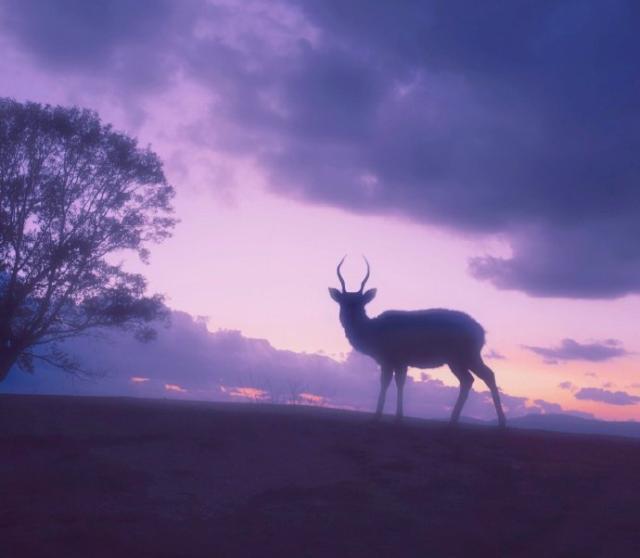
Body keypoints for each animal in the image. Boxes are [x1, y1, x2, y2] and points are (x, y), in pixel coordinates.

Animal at [330, 258, 504, 428]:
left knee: (486, 375)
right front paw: (397, 417)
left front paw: (378, 417)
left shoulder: (391, 358)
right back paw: (453, 420)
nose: (350, 315)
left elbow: (387, 383)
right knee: (469, 380)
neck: (374, 334)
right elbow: (400, 383)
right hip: (457, 359)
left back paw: (501, 422)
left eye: (362, 303)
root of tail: (482, 332)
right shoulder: (400, 361)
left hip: (465, 355)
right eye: (342, 302)